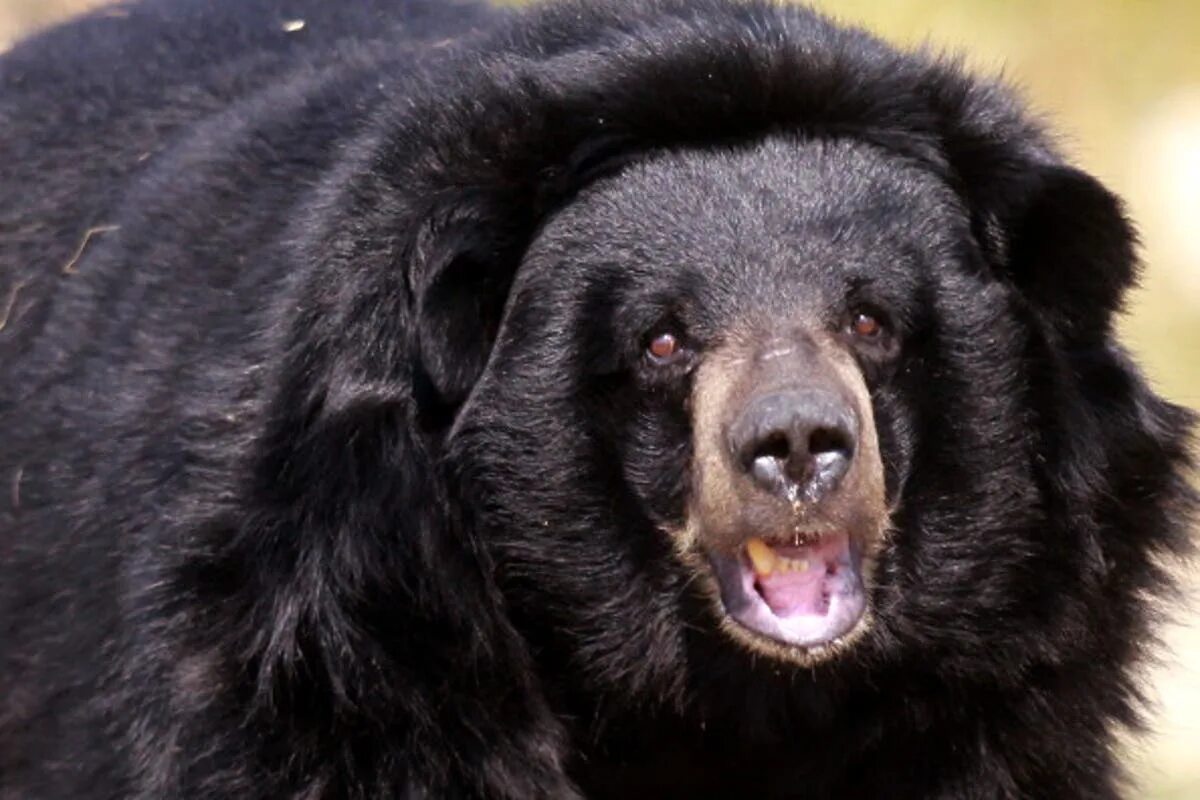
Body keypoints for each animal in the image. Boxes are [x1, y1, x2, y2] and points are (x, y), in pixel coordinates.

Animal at [0, 1, 1195, 800]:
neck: (736, 702)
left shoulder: (1002, 678)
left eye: (872, 322)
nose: (798, 444)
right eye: (662, 339)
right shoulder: (343, 638)